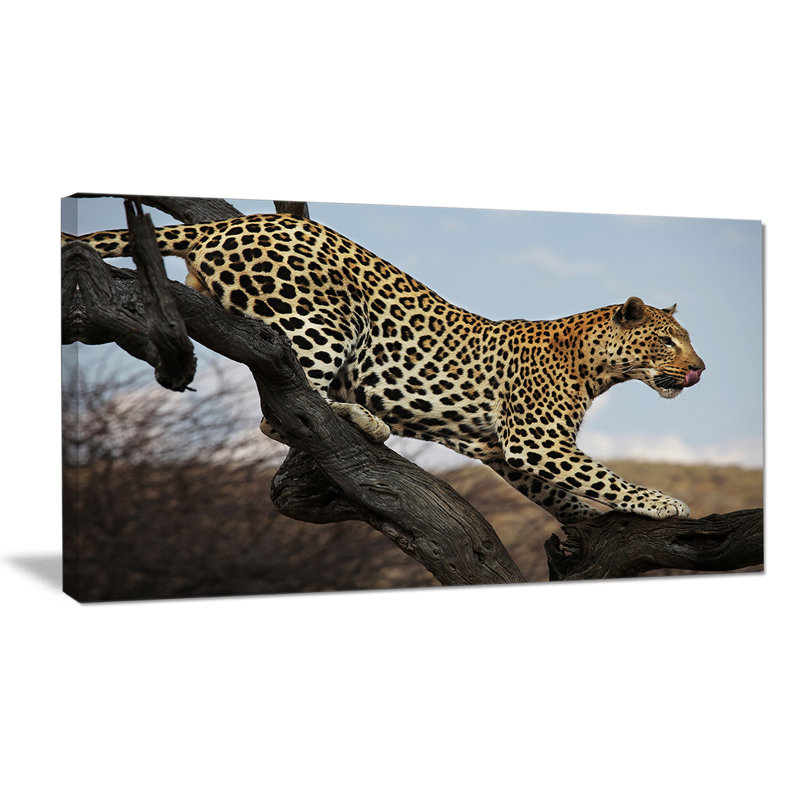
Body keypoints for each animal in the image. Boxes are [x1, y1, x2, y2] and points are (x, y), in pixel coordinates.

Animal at [65, 211, 706, 523]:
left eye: (687, 342)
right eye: (669, 342)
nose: (700, 370)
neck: (596, 366)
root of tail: (234, 222)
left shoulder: (507, 451)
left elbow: (565, 490)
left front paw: (586, 520)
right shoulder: (536, 439)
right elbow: (603, 475)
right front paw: (664, 504)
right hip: (323, 317)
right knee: (284, 407)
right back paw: (365, 420)